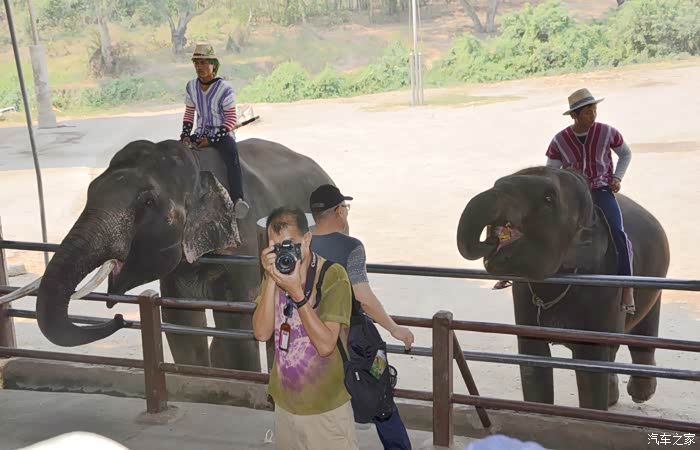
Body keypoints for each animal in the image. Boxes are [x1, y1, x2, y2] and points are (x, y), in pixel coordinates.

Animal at [29, 138, 335, 370]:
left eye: (147, 201)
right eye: (90, 190)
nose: (119, 319)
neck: (198, 167)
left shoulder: (243, 244)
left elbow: (236, 321)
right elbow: (180, 321)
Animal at [456, 166, 670, 410]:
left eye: (548, 199)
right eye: (496, 183)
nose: (491, 240)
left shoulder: (605, 285)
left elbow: (591, 362)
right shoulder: (523, 293)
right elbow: (533, 359)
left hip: (653, 279)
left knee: (643, 333)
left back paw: (640, 394)